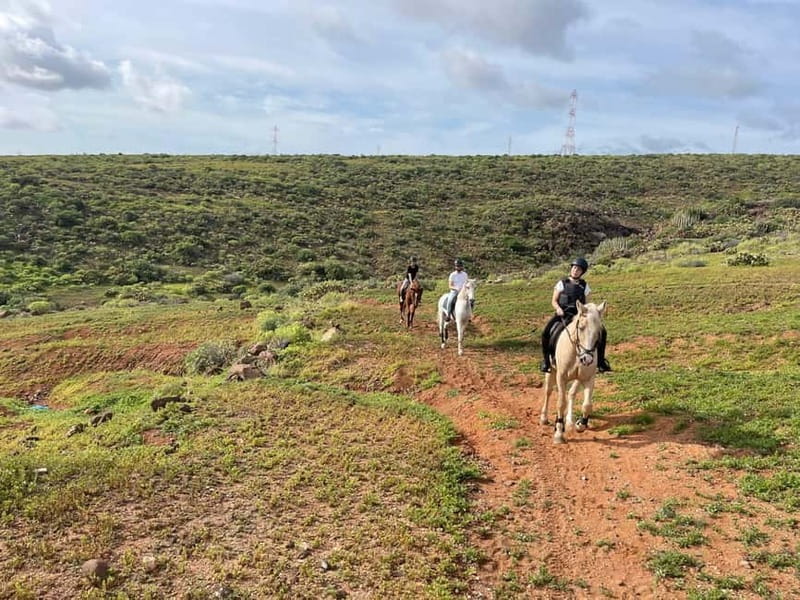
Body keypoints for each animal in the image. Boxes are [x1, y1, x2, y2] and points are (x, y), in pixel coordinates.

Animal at [539, 300, 607, 444]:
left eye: (599, 331)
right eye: (581, 328)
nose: (587, 359)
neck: (576, 352)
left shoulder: (588, 378)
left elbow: (587, 405)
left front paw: (581, 424)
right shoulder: (561, 378)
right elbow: (561, 403)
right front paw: (559, 432)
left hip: (578, 378)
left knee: (571, 393)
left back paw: (570, 420)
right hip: (551, 371)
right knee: (548, 392)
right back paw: (544, 418)